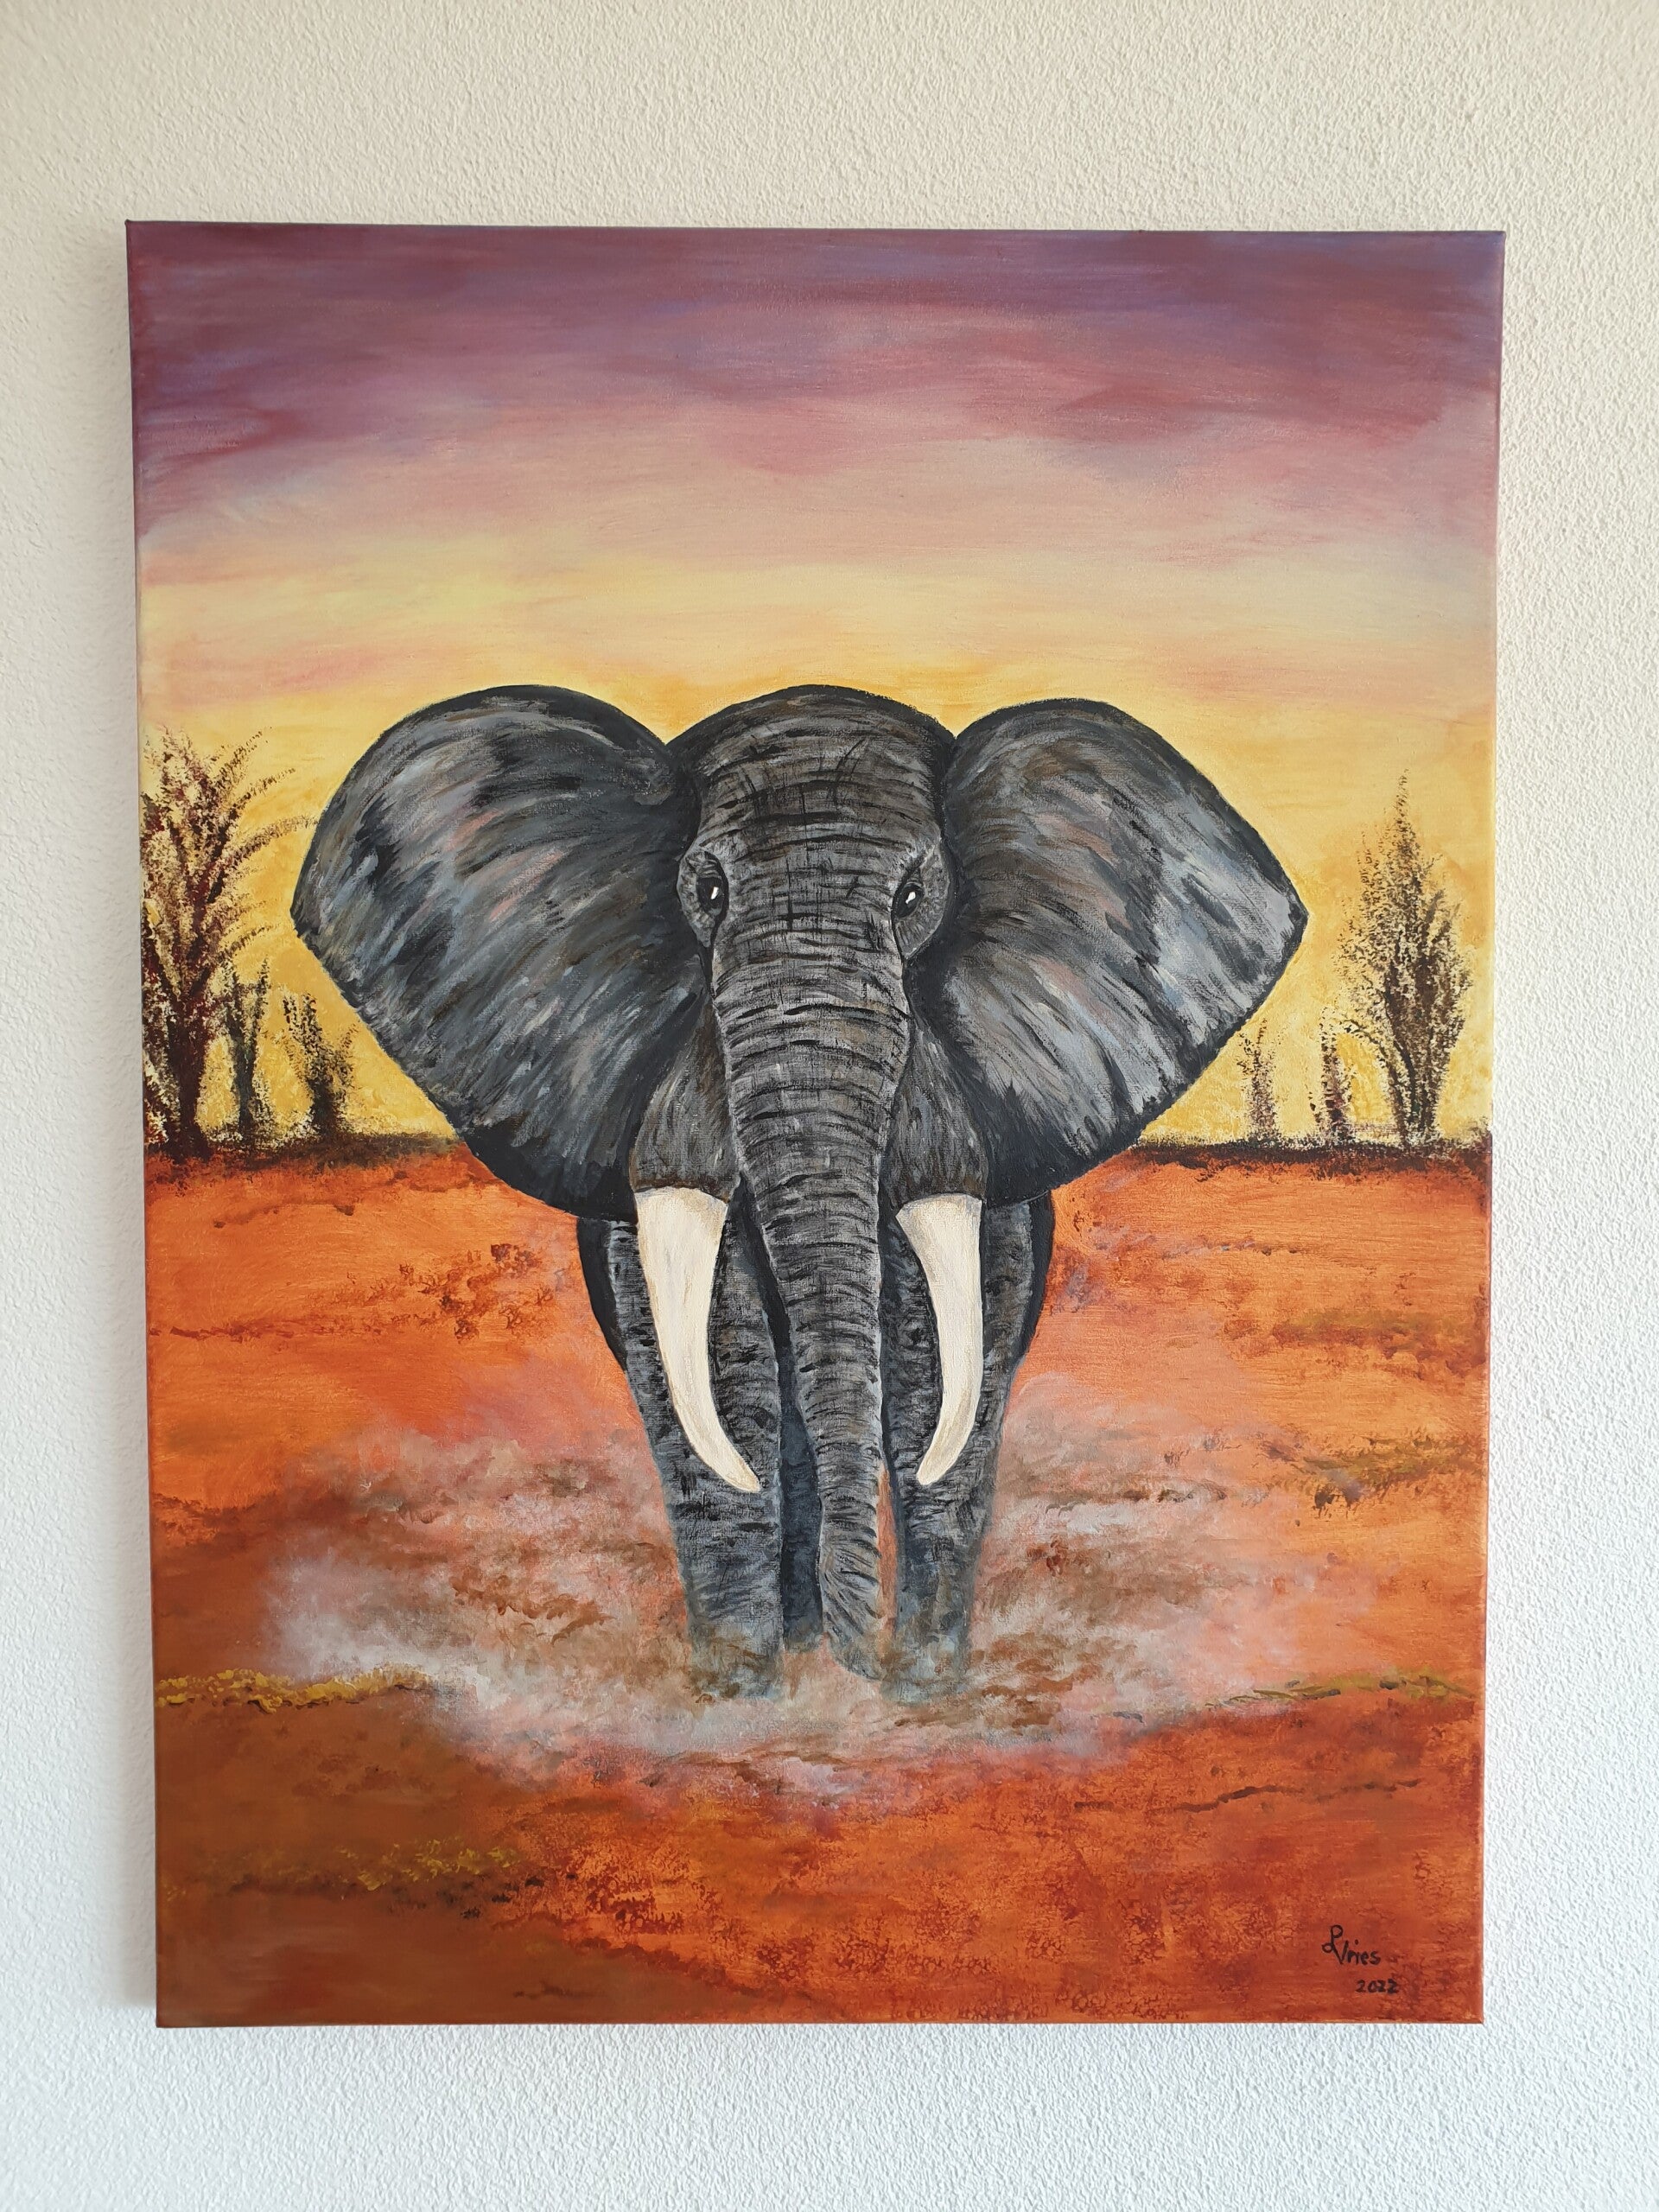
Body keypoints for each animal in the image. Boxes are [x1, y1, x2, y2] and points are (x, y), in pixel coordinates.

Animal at [292, 683, 1304, 1699]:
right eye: (706, 892)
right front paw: (741, 1690)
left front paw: (924, 1688)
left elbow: (950, 1343)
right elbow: (709, 1355)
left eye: (913, 898)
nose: (867, 1669)